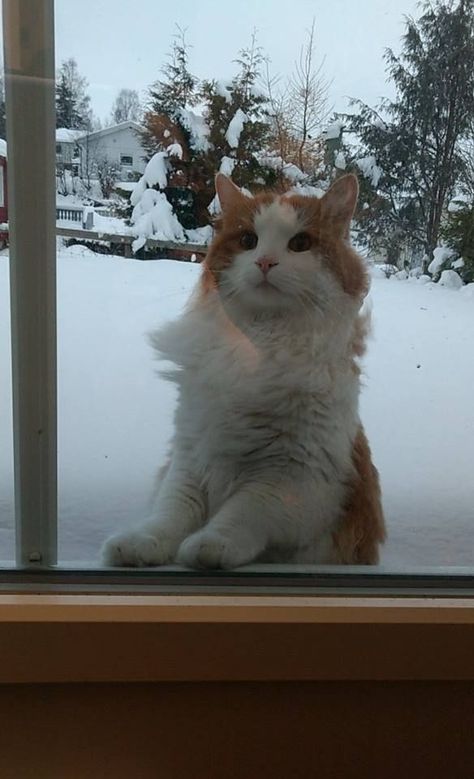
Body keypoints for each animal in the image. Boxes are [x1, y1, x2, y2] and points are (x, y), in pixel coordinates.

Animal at [103, 174, 386, 568]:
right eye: (249, 241)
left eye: (300, 244)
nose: (265, 262)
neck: (258, 345)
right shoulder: (190, 455)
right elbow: (171, 513)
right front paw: (141, 543)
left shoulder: (297, 479)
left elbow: (242, 511)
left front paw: (210, 545)